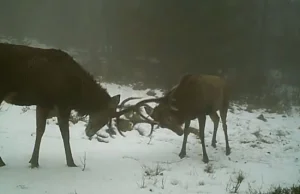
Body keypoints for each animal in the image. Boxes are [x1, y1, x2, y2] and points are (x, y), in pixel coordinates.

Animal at [0, 42, 138, 168]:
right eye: (104, 116)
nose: (89, 133)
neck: (78, 94)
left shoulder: (44, 104)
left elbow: (40, 130)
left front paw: (33, 161)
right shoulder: (61, 104)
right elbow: (64, 134)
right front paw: (70, 163)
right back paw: (2, 162)